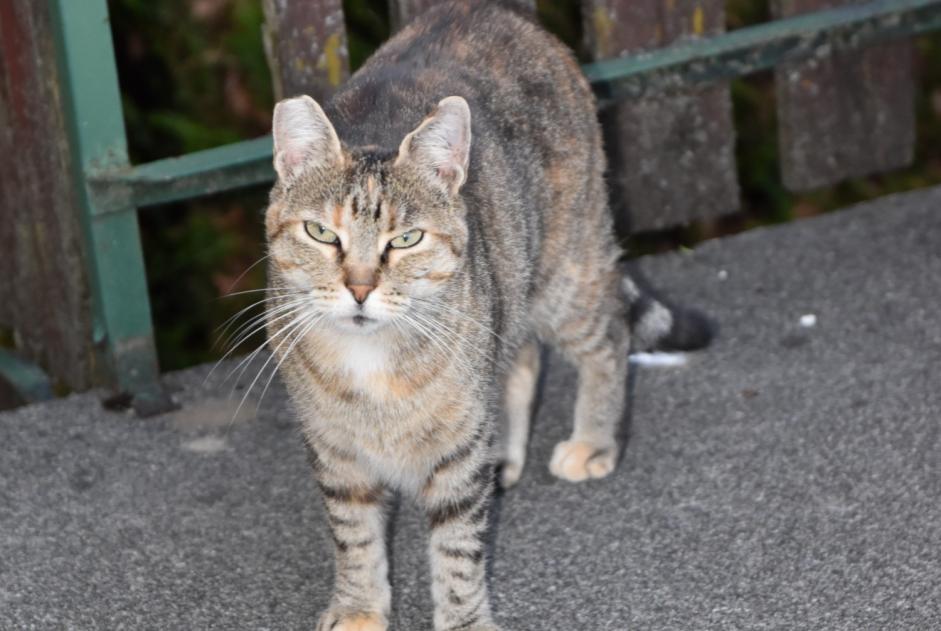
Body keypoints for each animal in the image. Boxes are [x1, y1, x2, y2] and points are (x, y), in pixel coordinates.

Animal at [260, 2, 708, 628]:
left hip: (563, 270)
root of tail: (494, 11)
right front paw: (358, 609)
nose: (360, 287)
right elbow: (355, 536)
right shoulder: (335, 451)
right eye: (321, 233)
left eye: (407, 239)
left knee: (608, 338)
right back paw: (508, 456)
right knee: (522, 359)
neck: (372, 360)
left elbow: (456, 552)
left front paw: (464, 619)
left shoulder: (457, 451)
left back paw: (593, 441)